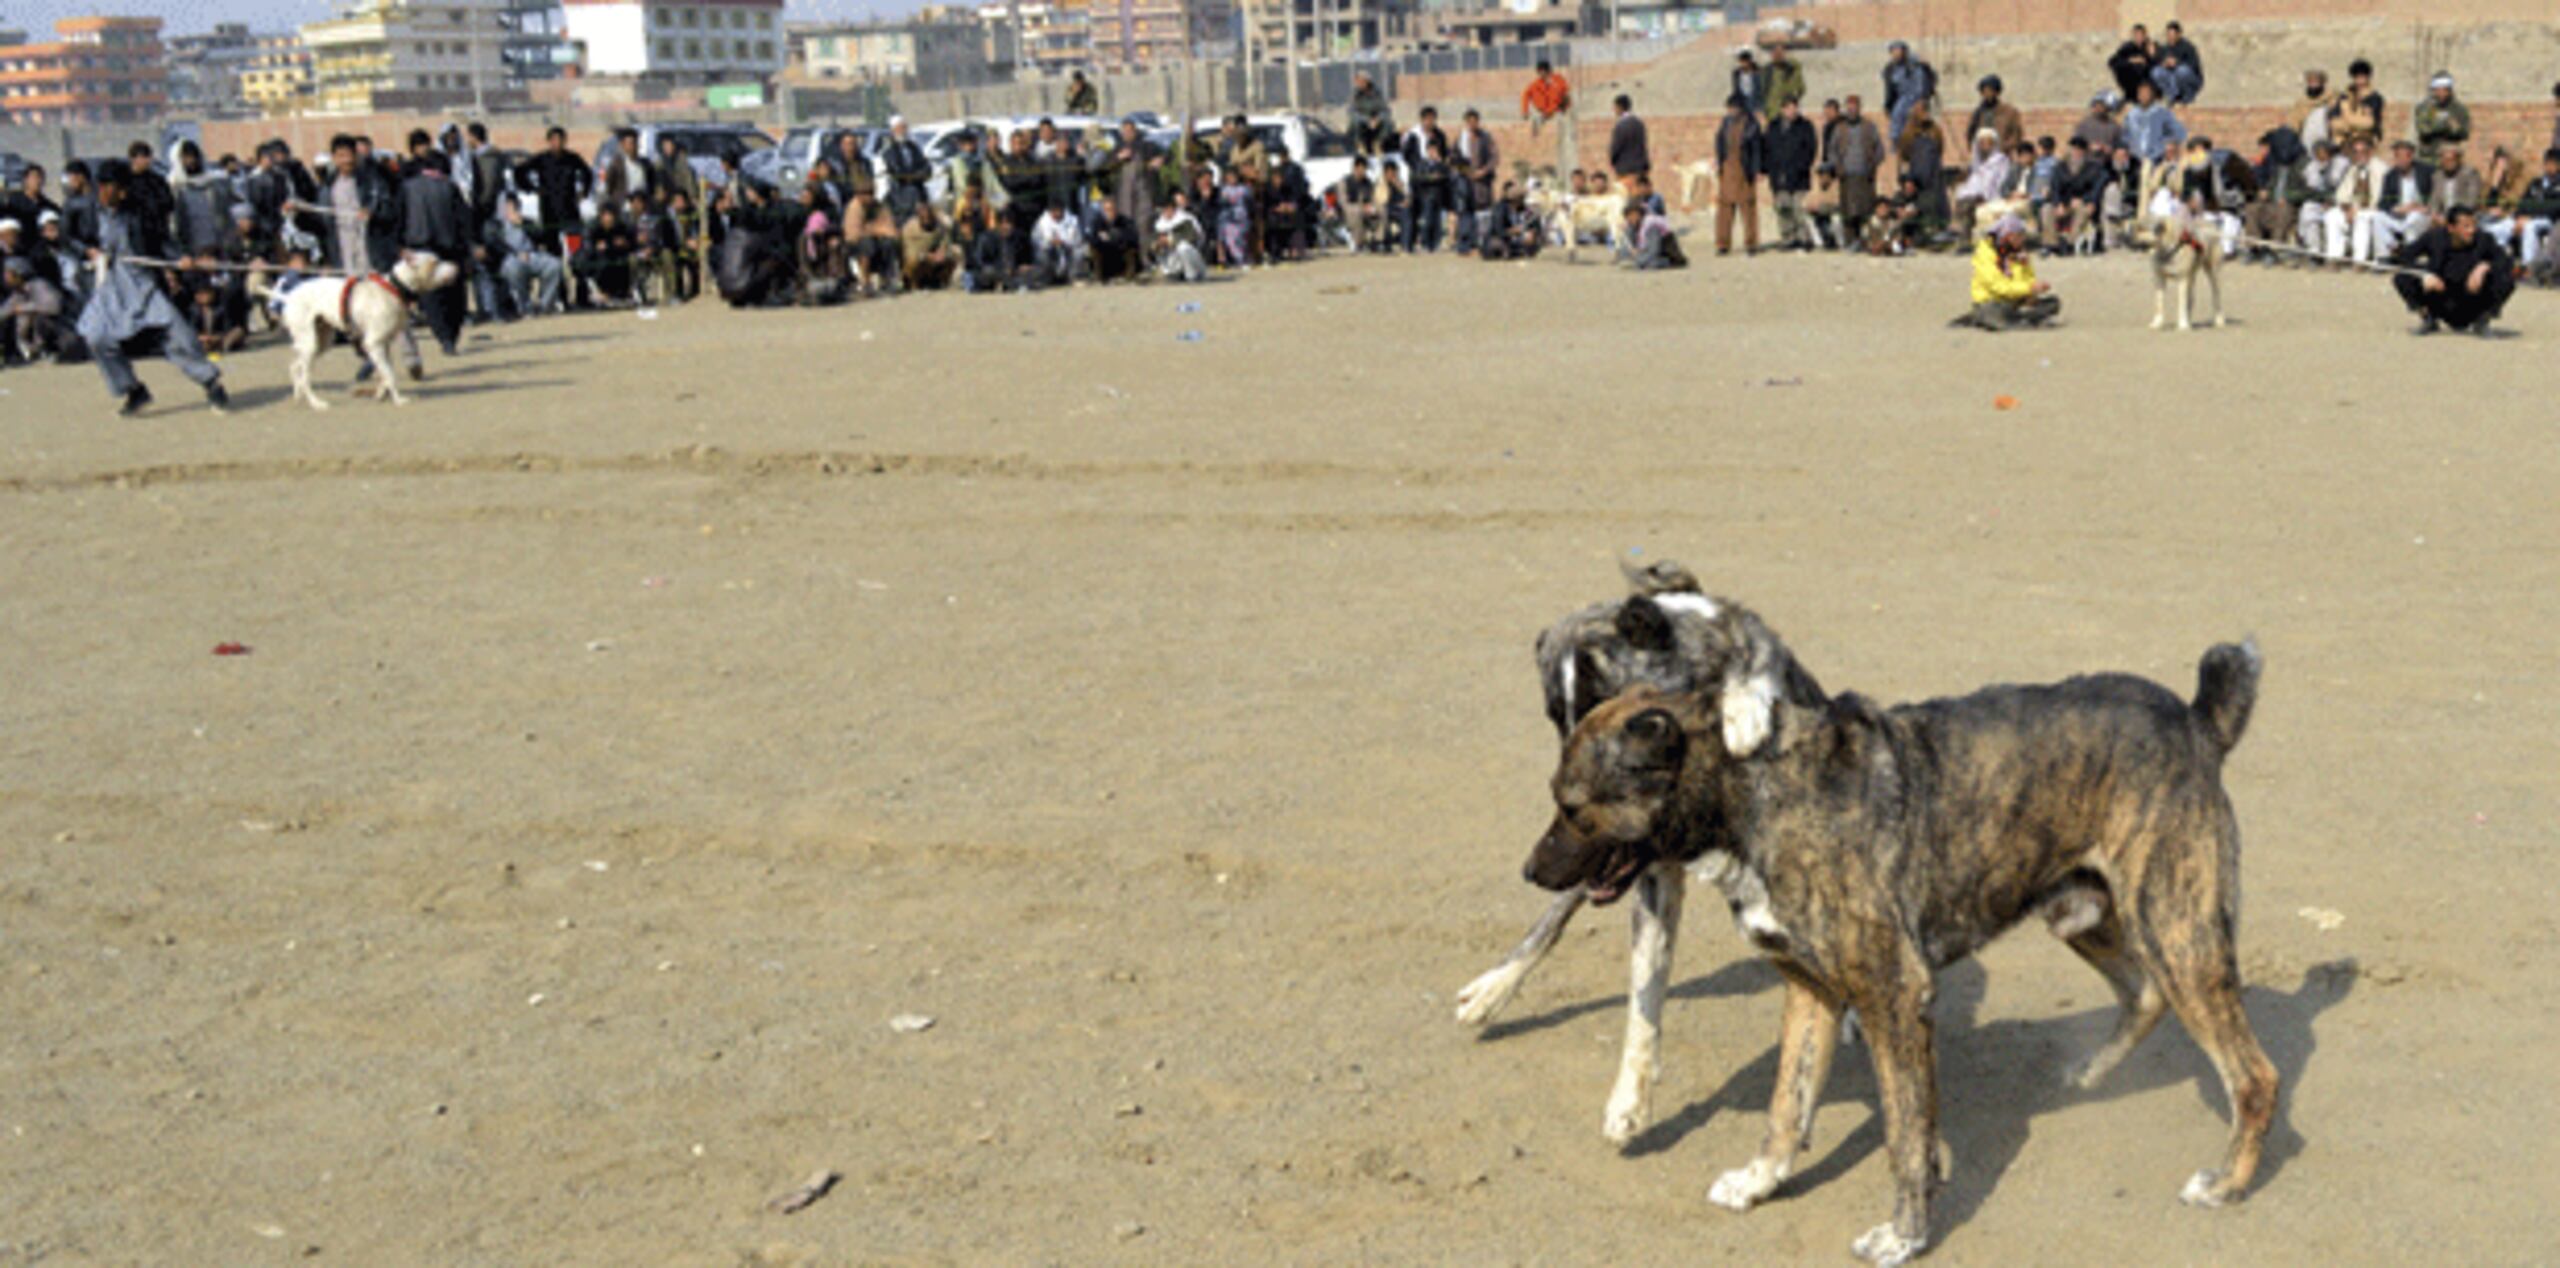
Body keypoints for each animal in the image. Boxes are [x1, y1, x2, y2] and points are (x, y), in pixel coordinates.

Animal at [249, 256, 460, 414]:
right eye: (434, 262)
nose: (457, 266)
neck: (392, 288)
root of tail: (289, 296)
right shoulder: (373, 344)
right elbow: (389, 375)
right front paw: (399, 399)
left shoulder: (383, 344)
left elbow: (385, 373)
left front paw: (381, 394)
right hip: (310, 344)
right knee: (304, 376)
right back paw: (317, 403)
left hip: (321, 341)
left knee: (295, 367)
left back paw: (298, 397)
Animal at [1525, 607, 2273, 1268]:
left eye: (1571, 806)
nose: (1530, 871)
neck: (1753, 791)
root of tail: (2195, 720)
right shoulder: (1813, 993)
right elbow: (1786, 1107)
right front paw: (1761, 1180)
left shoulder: (1894, 994)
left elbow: (1905, 1139)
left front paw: (1905, 1235)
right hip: (2084, 912)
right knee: (2144, 993)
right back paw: (2091, 1072)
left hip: (2176, 932)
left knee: (2253, 1074)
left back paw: (2228, 1183)